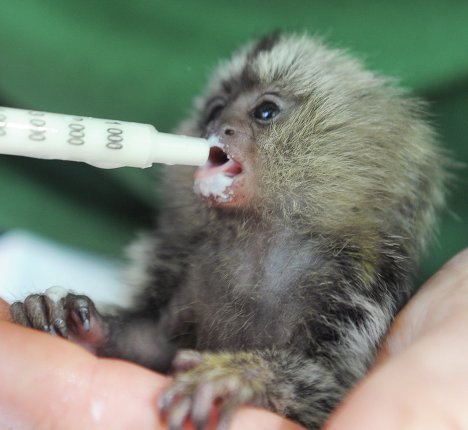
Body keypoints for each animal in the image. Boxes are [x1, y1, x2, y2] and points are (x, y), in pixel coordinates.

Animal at [10, 33, 447, 430]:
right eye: (215, 111)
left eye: (265, 112)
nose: (218, 128)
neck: (260, 241)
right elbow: (155, 343)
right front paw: (72, 320)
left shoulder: (357, 295)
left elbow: (332, 389)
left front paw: (240, 376)